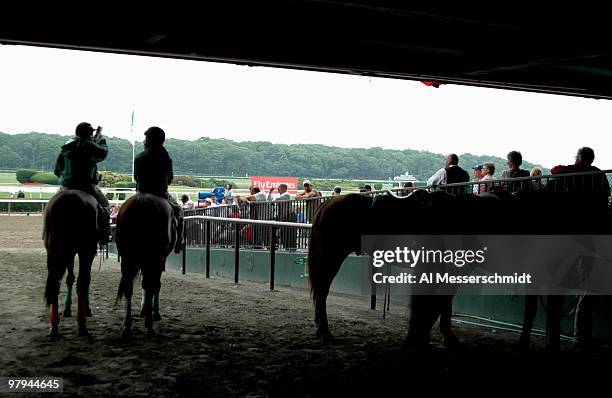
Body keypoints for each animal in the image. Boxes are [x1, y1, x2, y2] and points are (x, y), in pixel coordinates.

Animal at [43, 189, 98, 336]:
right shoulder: (87, 252)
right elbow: (84, 280)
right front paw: (87, 309)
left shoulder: (69, 252)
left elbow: (70, 278)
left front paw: (67, 309)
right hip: (85, 249)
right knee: (82, 282)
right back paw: (82, 325)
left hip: (54, 249)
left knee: (55, 283)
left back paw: (54, 327)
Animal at [115, 194, 177, 338]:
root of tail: (142, 201)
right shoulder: (159, 260)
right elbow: (154, 285)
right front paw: (154, 313)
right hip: (152, 259)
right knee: (150, 285)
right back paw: (149, 327)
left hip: (128, 257)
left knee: (128, 287)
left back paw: (127, 326)